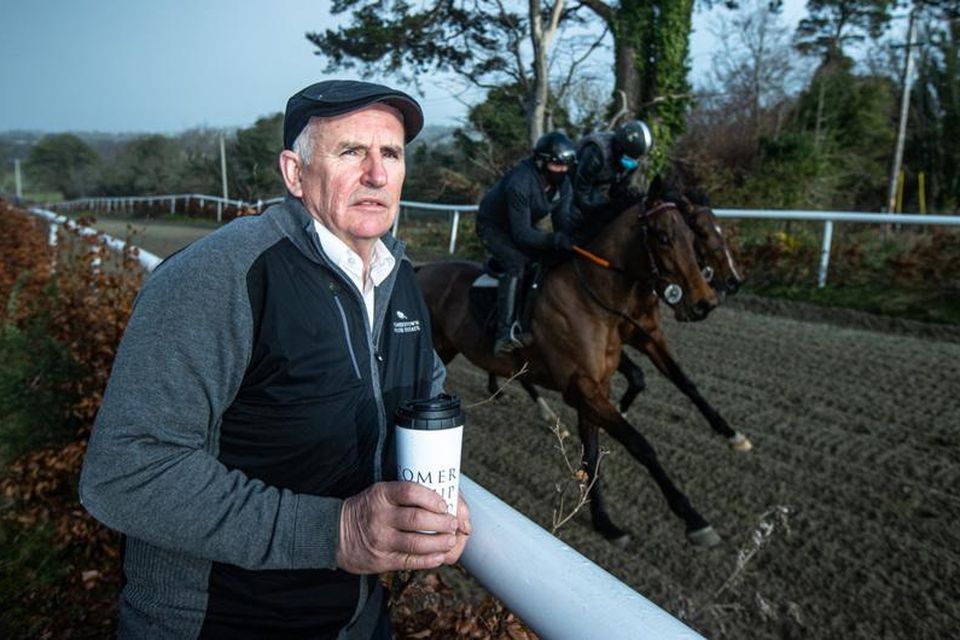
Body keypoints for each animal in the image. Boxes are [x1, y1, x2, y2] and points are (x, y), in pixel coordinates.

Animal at [420, 176, 728, 544]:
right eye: (663, 237)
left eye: (693, 237)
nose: (704, 302)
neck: (593, 296)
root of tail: (420, 268)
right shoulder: (582, 387)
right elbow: (640, 444)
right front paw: (694, 519)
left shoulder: (598, 383)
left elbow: (593, 452)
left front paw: (605, 522)